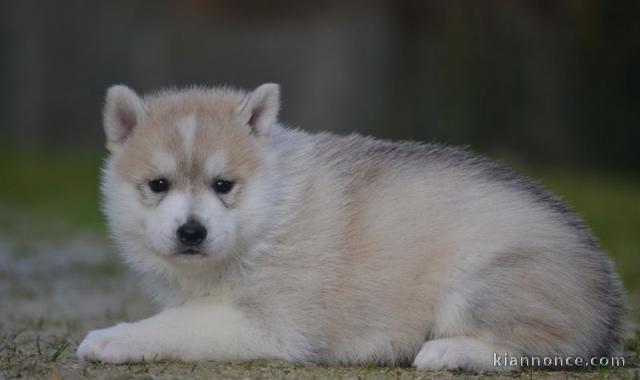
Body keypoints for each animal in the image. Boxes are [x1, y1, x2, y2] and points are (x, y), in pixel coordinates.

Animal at [76, 84, 624, 372]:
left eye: (223, 184)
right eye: (158, 184)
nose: (191, 232)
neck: (270, 215)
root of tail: (609, 307)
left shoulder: (267, 325)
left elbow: (174, 323)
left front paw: (111, 338)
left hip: (483, 279)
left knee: (538, 348)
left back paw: (449, 349)